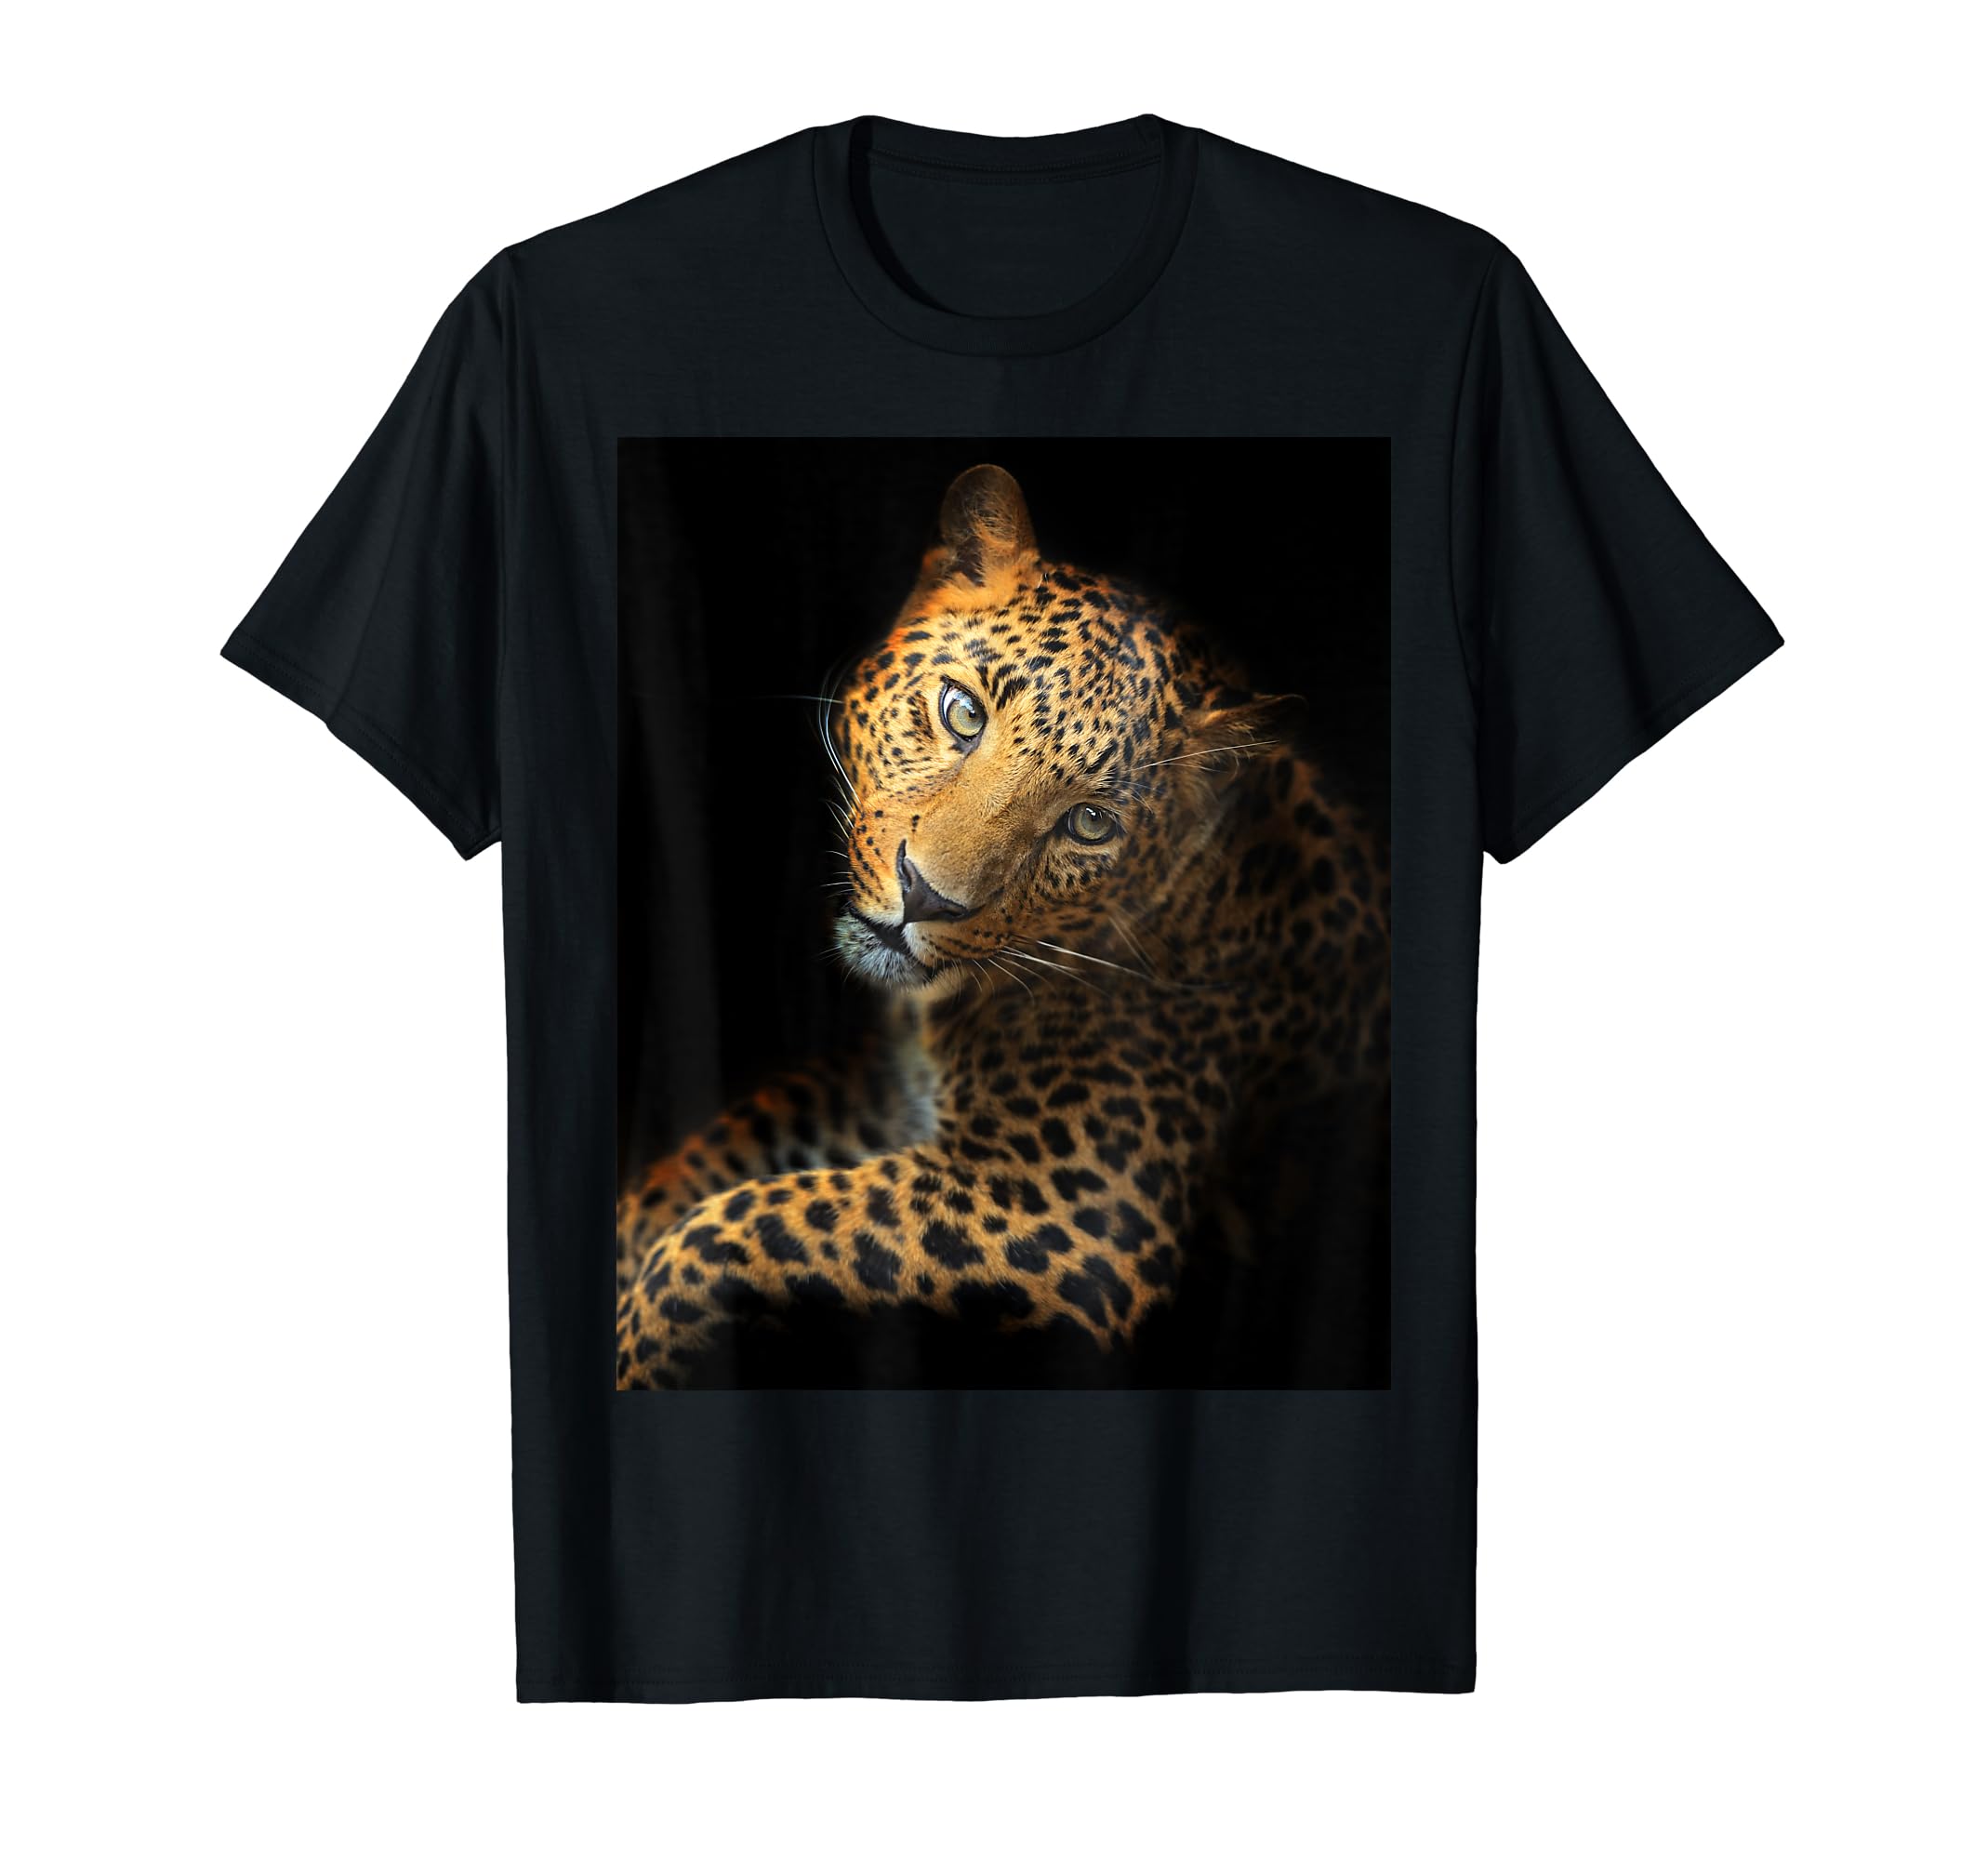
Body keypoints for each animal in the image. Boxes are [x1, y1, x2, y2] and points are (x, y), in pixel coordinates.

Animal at [616, 464, 1388, 1389]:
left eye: (1089, 824)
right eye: (961, 713)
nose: (926, 899)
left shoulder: (1077, 1197)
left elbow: (735, 1226)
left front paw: (639, 1351)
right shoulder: (884, 1092)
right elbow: (716, 1160)